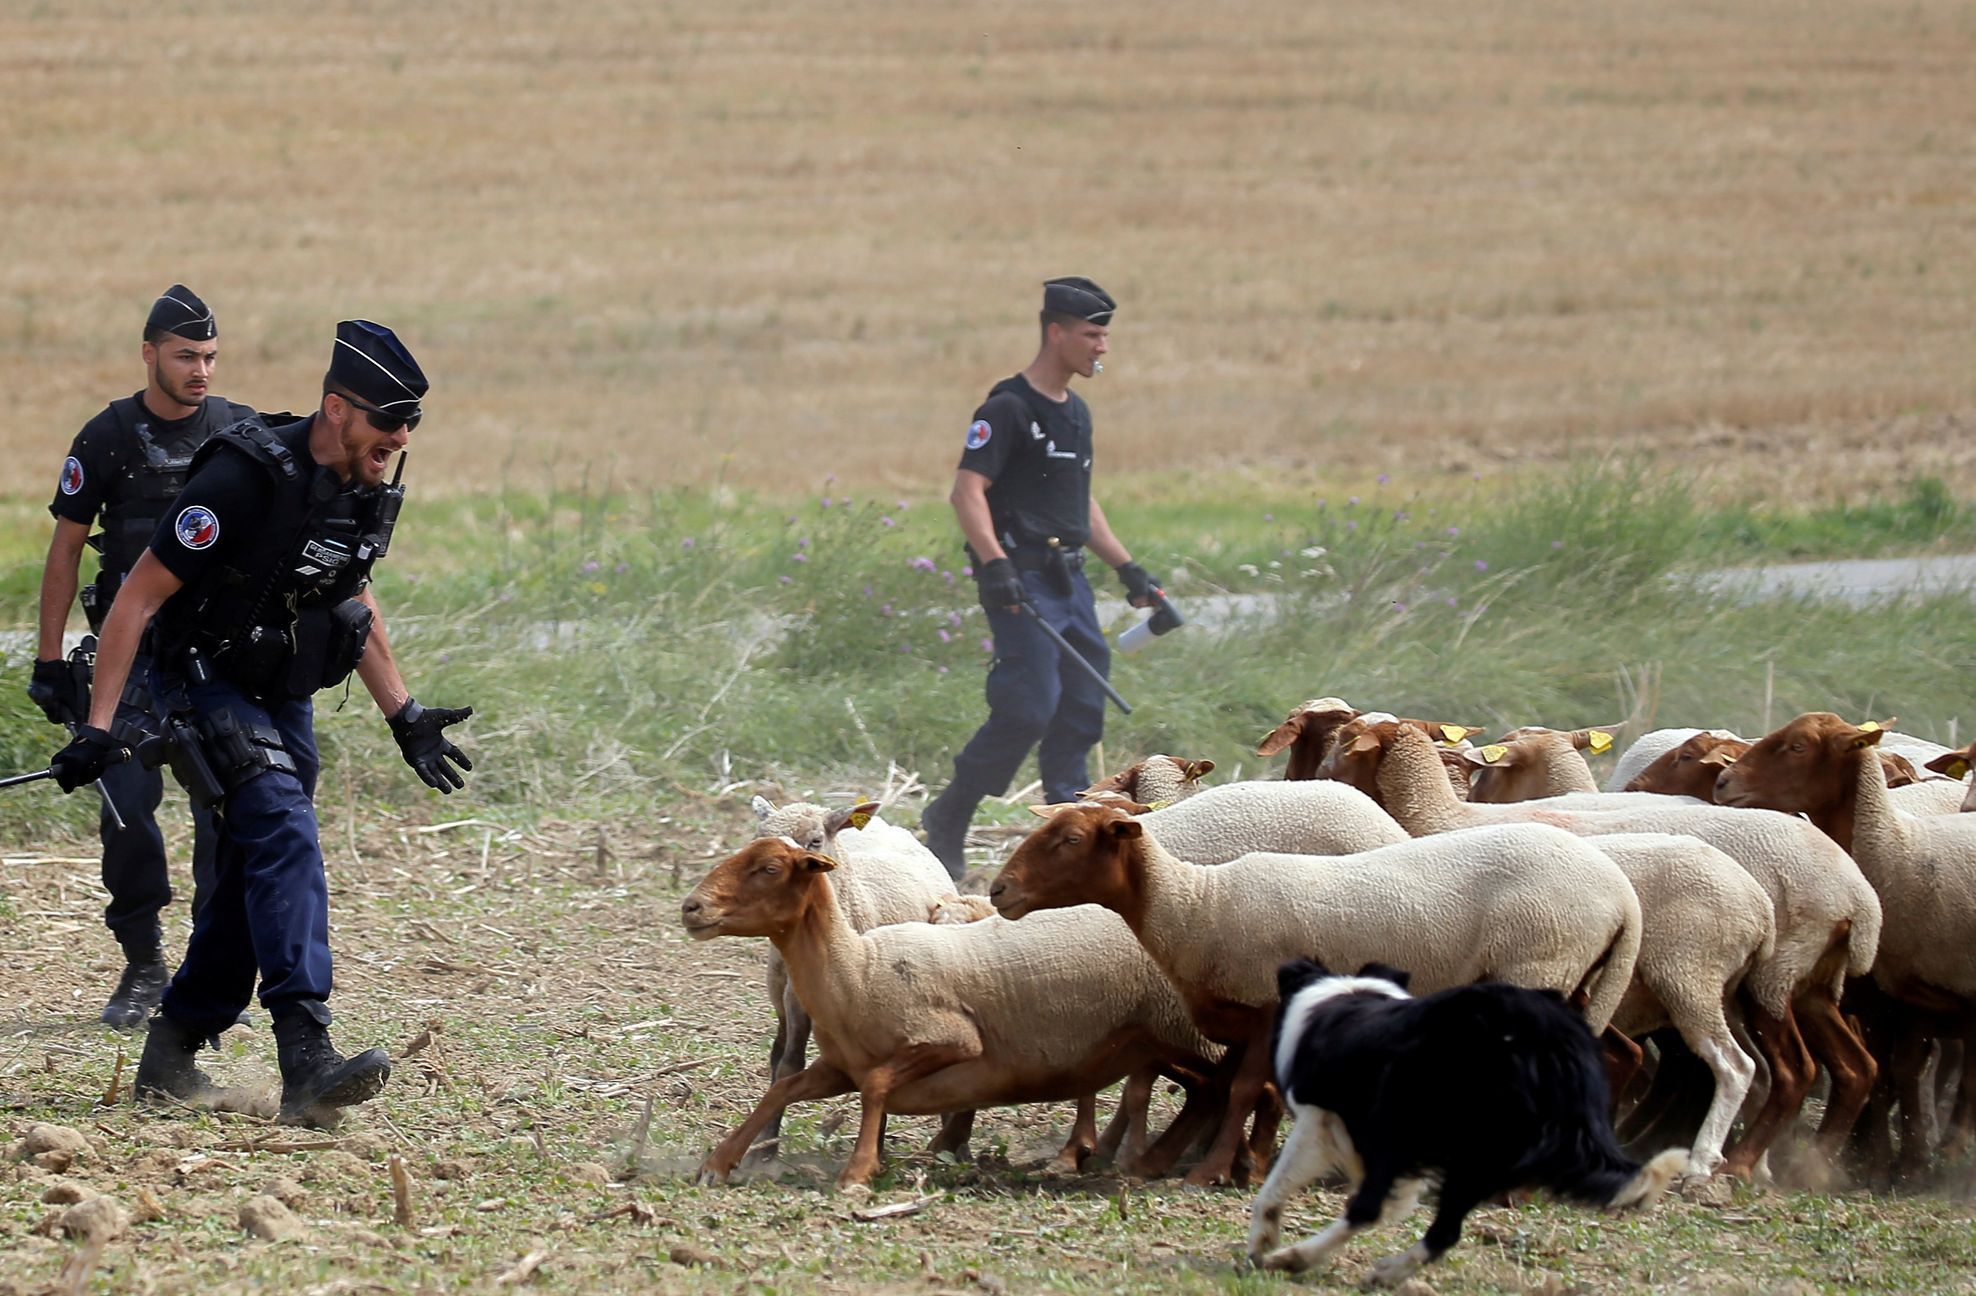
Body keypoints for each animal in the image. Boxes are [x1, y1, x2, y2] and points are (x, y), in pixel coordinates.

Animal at [687, 833, 1225, 1193]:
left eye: (769, 869)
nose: (691, 907)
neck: (857, 969)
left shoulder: (952, 1039)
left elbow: (876, 1087)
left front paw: (859, 1169)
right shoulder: (838, 1068)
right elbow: (781, 1090)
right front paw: (719, 1162)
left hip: (1183, 1033)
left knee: (1227, 1085)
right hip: (1153, 1041)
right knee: (1202, 1090)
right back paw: (1158, 1160)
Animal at [984, 813, 1636, 1193]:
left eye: (1070, 839)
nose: (997, 889)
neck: (1196, 906)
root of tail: (1622, 894)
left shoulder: (1267, 1005)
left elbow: (1245, 1089)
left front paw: (1209, 1171)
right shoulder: (1242, 1010)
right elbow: (1227, 1086)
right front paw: (1180, 1163)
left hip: (1539, 965)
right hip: (1572, 981)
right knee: (1610, 1058)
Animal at [1248, 956, 1683, 1280]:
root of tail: (1550, 1042)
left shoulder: (1321, 1121)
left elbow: (1275, 1187)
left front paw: (1261, 1243)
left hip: (1410, 1124)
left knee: (1369, 1209)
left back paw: (1295, 1257)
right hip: (1486, 1156)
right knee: (1445, 1231)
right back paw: (1385, 1273)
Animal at [1715, 715, 1976, 1177]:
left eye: (1798, 746)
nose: (1723, 781)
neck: (1895, 847)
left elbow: (1931, 1075)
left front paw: (1927, 1156)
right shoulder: (1893, 998)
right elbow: (1895, 1071)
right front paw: (1893, 1160)